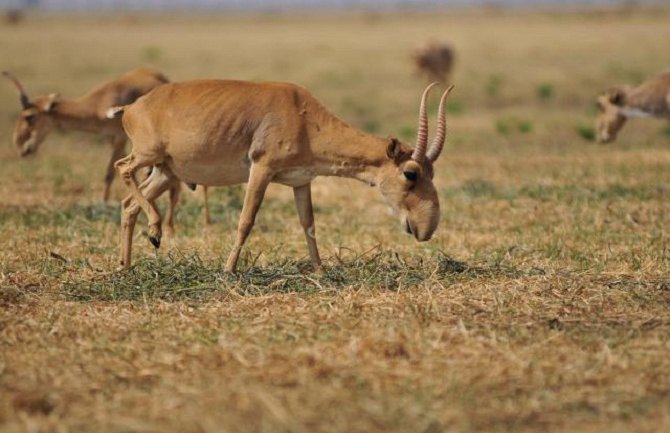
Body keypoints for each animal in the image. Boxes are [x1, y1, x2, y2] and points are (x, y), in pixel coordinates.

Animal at [110, 79, 456, 272]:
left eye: (432, 171)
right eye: (411, 173)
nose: (426, 228)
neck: (302, 113)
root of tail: (131, 108)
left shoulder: (301, 181)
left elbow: (309, 224)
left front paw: (320, 271)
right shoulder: (261, 170)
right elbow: (246, 220)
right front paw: (228, 270)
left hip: (166, 173)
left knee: (128, 204)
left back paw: (126, 266)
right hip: (148, 156)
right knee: (123, 168)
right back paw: (154, 231)